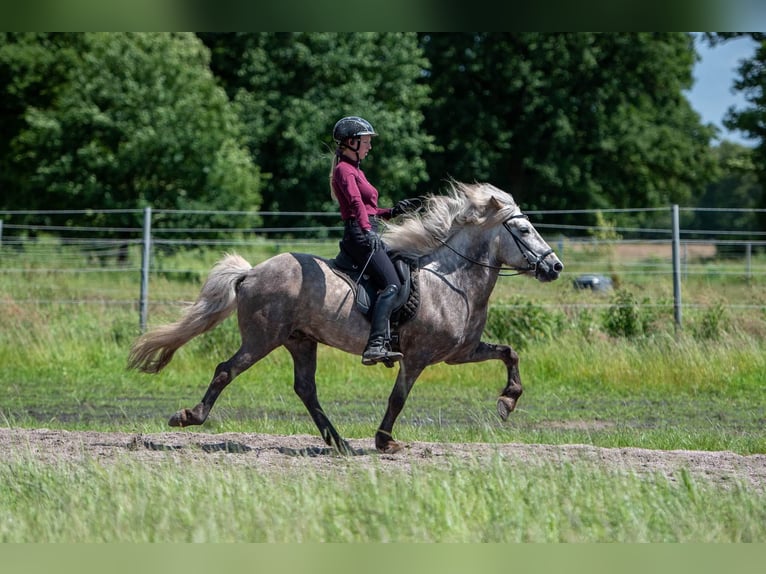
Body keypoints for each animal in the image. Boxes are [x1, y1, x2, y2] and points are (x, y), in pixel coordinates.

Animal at [127, 182, 564, 456]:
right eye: (524, 229)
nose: (555, 267)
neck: (452, 281)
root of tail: (250, 273)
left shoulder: (460, 352)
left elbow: (509, 352)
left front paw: (507, 401)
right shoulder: (419, 356)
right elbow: (398, 397)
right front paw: (386, 441)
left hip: (300, 340)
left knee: (305, 389)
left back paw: (338, 443)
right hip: (261, 338)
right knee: (225, 370)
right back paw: (190, 416)